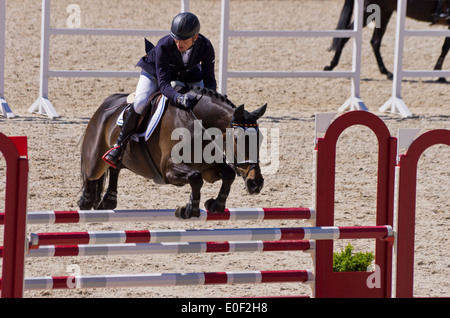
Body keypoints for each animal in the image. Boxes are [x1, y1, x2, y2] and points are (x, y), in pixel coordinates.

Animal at [77, 87, 268, 219]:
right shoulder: (168, 169)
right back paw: (86, 201)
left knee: (115, 168)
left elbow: (228, 174)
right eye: (237, 139)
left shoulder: (209, 169)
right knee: (90, 174)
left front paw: (215, 205)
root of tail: (107, 103)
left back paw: (108, 199)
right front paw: (189, 209)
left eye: (260, 138)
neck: (197, 124)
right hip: (95, 160)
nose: (256, 183)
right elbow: (195, 177)